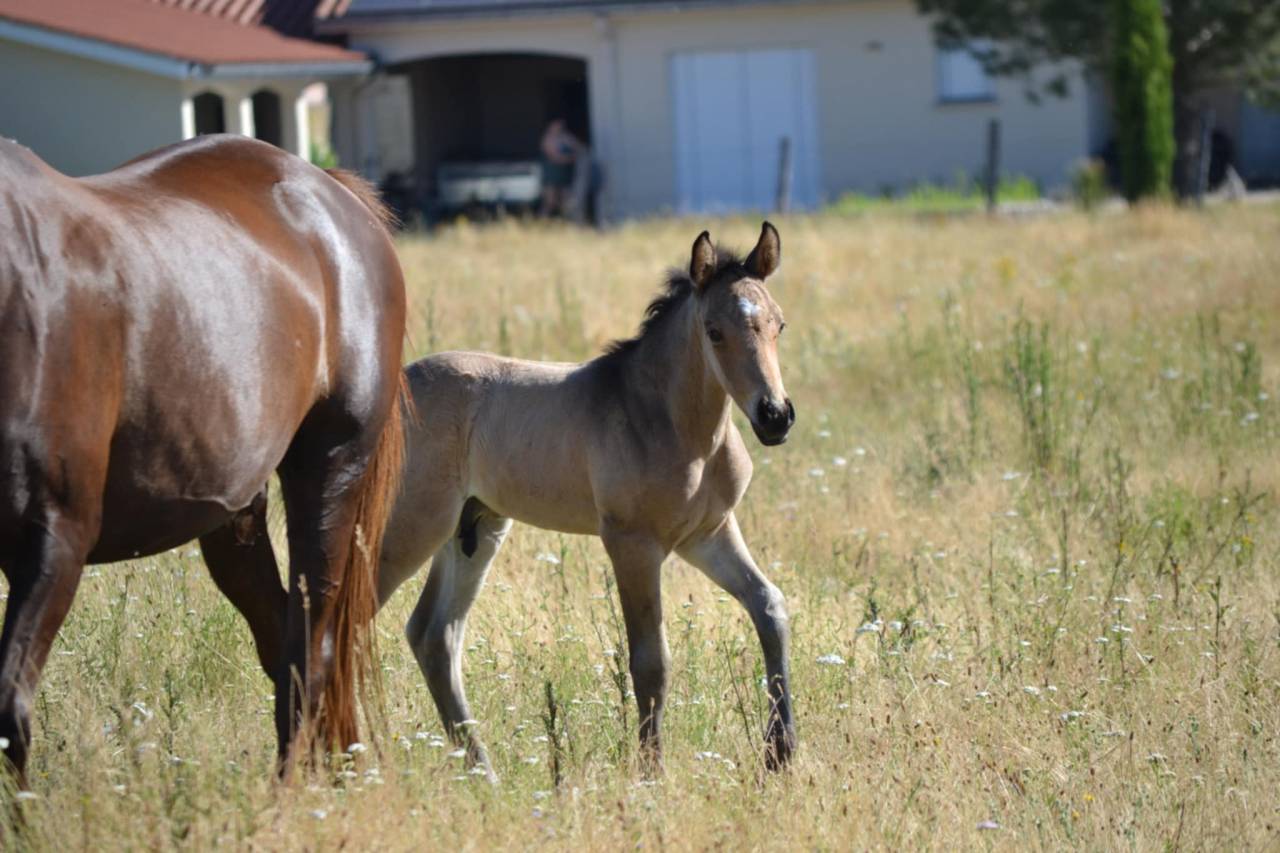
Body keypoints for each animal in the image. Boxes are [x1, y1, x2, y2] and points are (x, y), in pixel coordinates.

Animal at [0, 134, 406, 783]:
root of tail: (329, 189)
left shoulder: (55, 536)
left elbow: (9, 714)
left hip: (332, 469)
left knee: (309, 651)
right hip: (234, 513)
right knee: (280, 636)